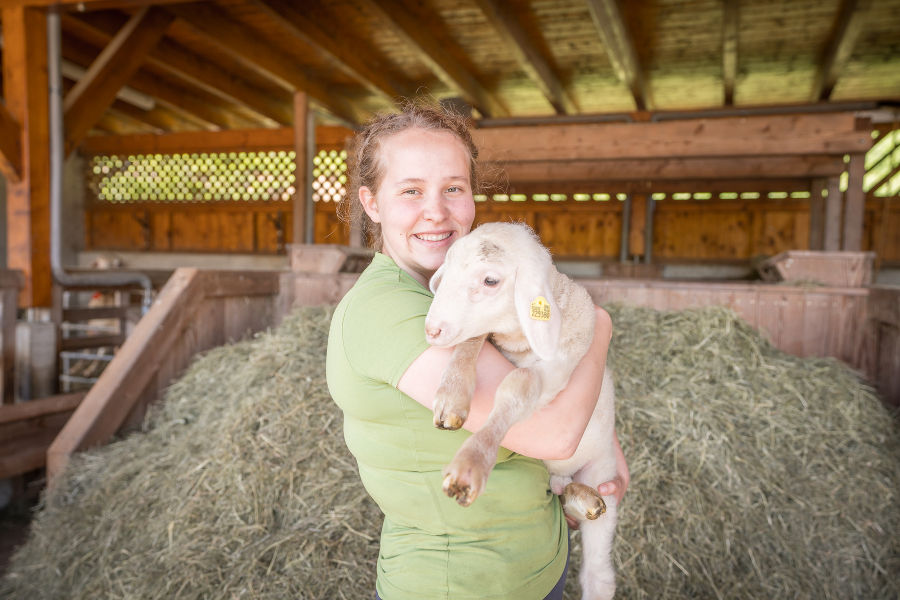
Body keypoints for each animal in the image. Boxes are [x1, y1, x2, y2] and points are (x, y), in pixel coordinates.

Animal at [422, 220, 620, 600]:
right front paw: (452, 395)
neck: (520, 341)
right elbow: (470, 341)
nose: (432, 329)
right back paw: (581, 499)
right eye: (447, 269)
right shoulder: (486, 335)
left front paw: (471, 464)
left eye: (490, 281)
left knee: (598, 573)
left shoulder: (560, 367)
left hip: (603, 470)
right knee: (561, 489)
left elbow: (520, 383)